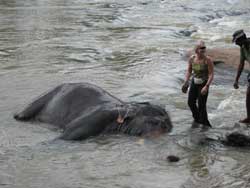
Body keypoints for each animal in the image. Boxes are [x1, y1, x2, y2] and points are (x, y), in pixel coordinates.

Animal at [13, 83, 173, 140]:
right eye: (153, 122)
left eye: (168, 122)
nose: (165, 125)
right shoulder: (97, 118)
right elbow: (65, 136)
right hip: (42, 98)